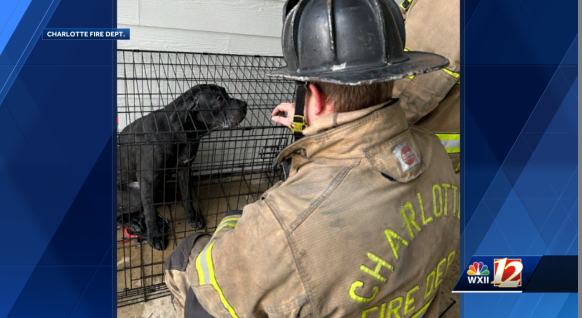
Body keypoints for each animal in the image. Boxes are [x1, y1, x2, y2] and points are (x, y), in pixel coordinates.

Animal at [117, 84, 248, 251]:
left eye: (226, 92)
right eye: (219, 99)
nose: (245, 105)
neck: (180, 131)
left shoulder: (185, 170)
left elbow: (187, 196)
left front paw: (192, 216)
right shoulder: (147, 180)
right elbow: (150, 211)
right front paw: (155, 236)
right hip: (135, 194)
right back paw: (134, 224)